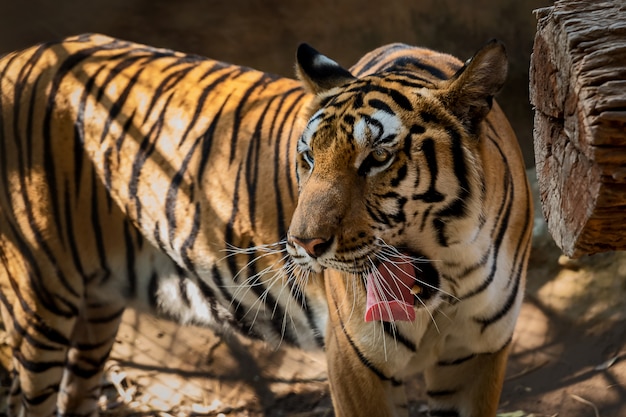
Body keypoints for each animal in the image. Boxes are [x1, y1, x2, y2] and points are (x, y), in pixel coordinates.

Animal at [0, 33, 532, 416]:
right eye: (308, 158)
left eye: (378, 158)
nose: (304, 243)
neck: (449, 265)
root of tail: (18, 56)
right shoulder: (357, 366)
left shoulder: (477, 357)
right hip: (39, 300)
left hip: (97, 308)